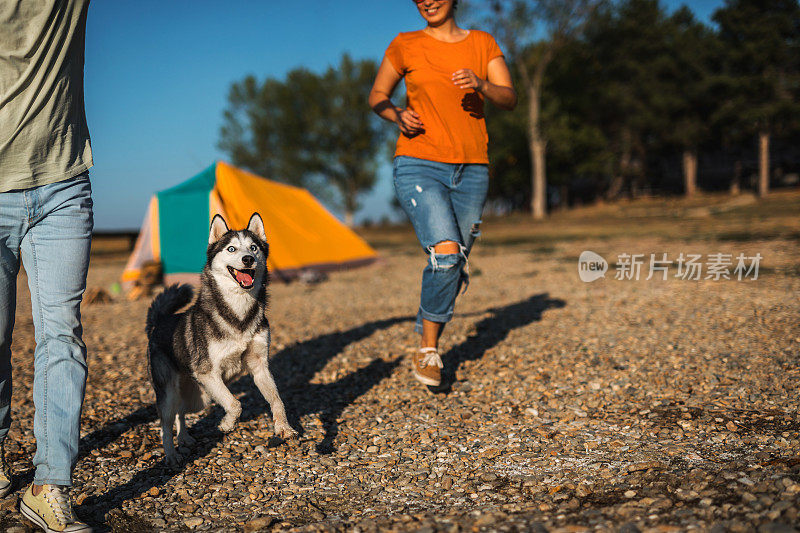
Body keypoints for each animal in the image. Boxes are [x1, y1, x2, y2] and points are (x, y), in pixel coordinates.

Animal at [145, 212, 296, 466]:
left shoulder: (259, 365)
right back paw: (171, 454)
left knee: (180, 413)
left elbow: (277, 399)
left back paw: (184, 438)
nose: (248, 259)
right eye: (231, 248)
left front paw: (283, 427)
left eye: (254, 247)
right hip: (170, 390)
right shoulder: (208, 373)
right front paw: (226, 424)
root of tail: (160, 321)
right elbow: (235, 404)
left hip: (198, 396)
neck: (239, 314)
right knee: (165, 422)